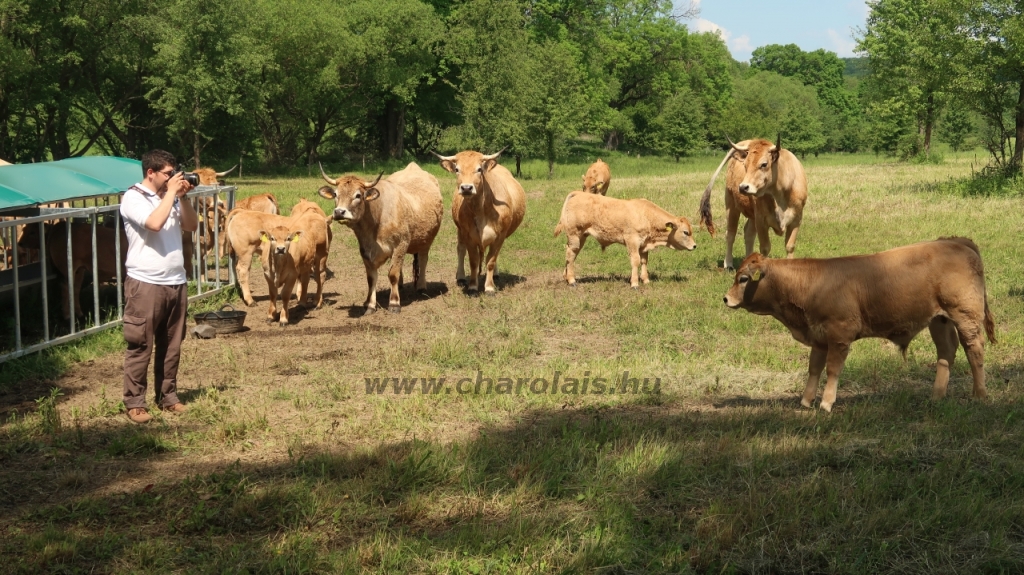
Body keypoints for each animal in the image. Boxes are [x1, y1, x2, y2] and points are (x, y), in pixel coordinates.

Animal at [434, 147, 528, 292]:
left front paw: (489, 287)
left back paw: (495, 275)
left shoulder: (500, 236)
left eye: (479, 169)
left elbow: (490, 261)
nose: (466, 188)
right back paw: (461, 277)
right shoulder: (468, 235)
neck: (480, 210)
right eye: (457, 169)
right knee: (461, 249)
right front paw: (473, 286)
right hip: (459, 230)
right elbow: (473, 261)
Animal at [557, 191, 700, 286]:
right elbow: (635, 261)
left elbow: (644, 261)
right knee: (570, 254)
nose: (694, 246)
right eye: (686, 232)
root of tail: (579, 193)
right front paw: (635, 283)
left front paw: (646, 280)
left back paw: (566, 277)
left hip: (581, 237)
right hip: (575, 235)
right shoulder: (632, 242)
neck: (646, 215)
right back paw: (571, 281)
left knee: (571, 255)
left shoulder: (643, 245)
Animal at [696, 136, 806, 268]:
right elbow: (765, 248)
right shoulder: (761, 220)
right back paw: (728, 263)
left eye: (764, 164)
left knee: (748, 233)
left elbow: (789, 246)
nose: (743, 187)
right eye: (745, 164)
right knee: (731, 234)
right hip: (731, 204)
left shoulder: (796, 220)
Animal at [724, 235, 995, 409]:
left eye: (744, 279)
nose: (725, 298)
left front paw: (826, 403)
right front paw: (806, 401)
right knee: (946, 352)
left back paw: (980, 395)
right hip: (939, 320)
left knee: (974, 351)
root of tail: (955, 241)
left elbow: (832, 369)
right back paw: (937, 396)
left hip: (965, 316)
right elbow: (814, 368)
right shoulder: (819, 337)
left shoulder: (840, 336)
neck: (811, 283)